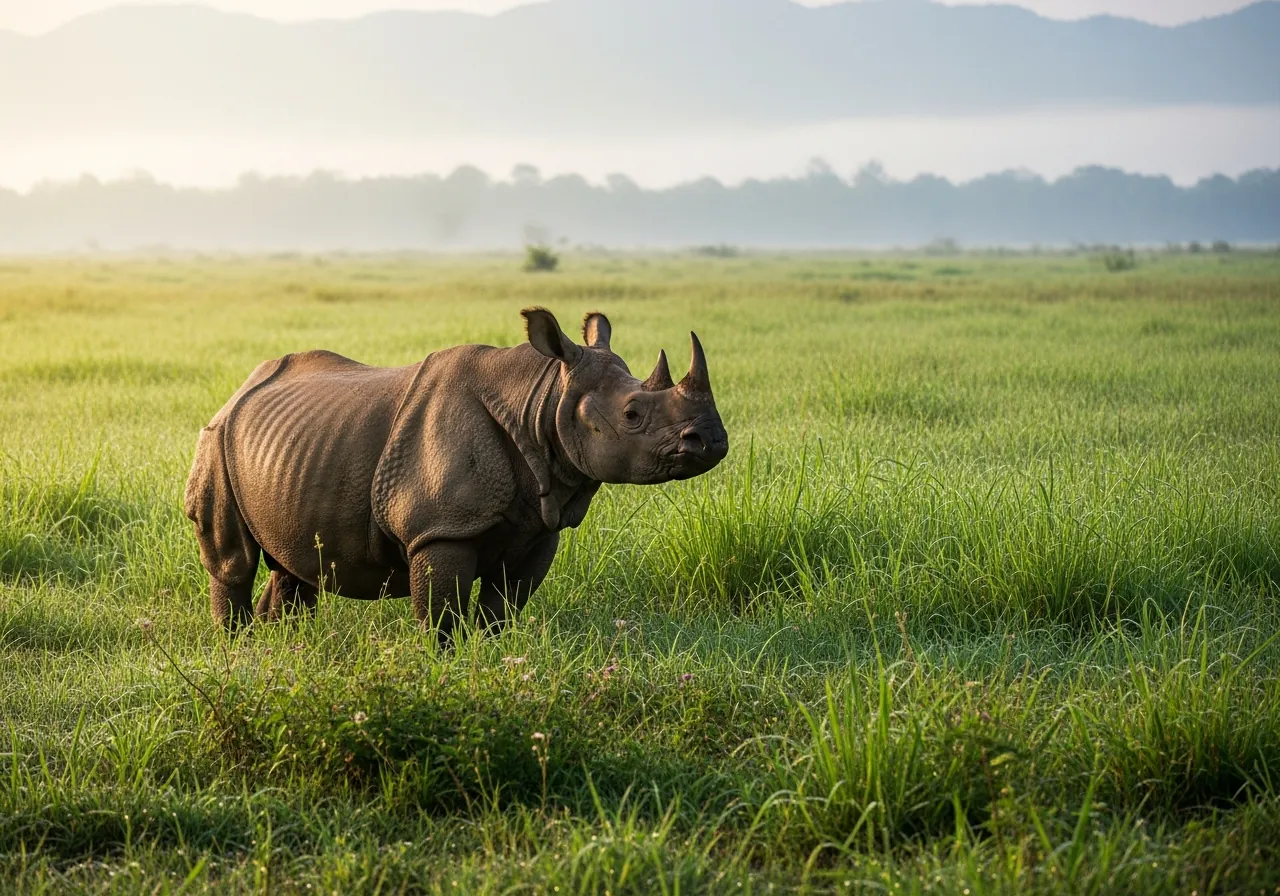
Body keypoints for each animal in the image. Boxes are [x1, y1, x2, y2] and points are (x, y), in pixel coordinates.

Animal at [184, 308, 728, 643]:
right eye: (633, 414)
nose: (713, 440)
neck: (542, 398)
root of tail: (240, 389)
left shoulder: (538, 528)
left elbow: (501, 609)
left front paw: (491, 656)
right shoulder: (439, 528)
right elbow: (441, 617)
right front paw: (441, 666)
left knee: (292, 567)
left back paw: (281, 649)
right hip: (216, 438)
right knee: (233, 563)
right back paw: (237, 649)